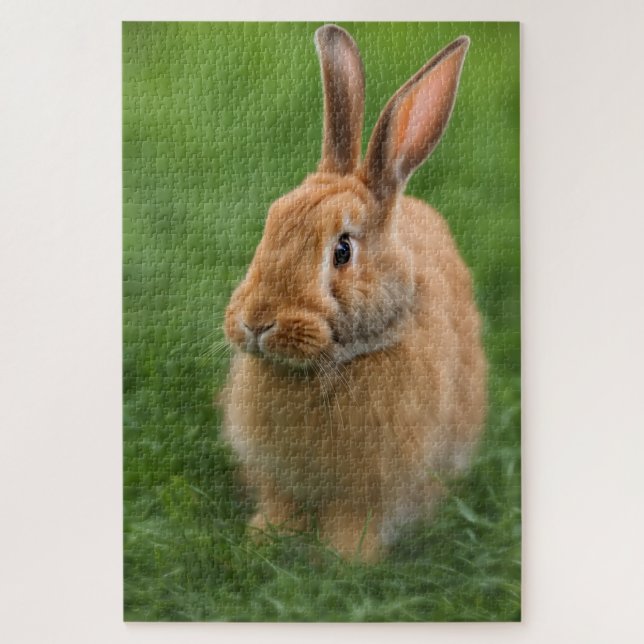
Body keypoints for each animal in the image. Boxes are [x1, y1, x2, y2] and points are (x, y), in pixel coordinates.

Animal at [219, 24, 487, 562]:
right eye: (272, 221)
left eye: (342, 250)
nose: (256, 322)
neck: (333, 365)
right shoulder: (278, 475)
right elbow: (280, 503)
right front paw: (265, 537)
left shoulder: (379, 484)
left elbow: (356, 519)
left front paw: (346, 560)